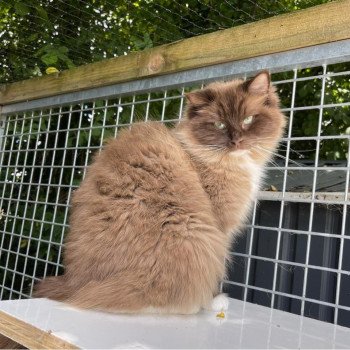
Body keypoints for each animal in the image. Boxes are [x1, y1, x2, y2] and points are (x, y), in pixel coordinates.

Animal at [34, 71, 288, 314]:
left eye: (248, 119)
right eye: (220, 125)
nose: (237, 142)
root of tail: (73, 284)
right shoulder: (220, 227)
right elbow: (216, 277)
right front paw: (214, 301)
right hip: (193, 233)